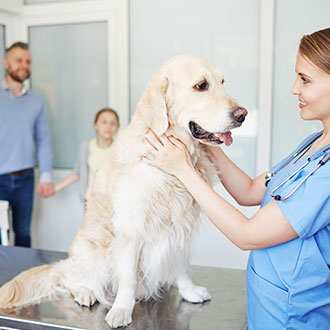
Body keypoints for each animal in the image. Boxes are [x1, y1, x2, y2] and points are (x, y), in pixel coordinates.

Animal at [0, 54, 246, 328]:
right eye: (201, 86)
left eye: (222, 82)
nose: (243, 114)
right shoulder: (131, 228)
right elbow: (127, 278)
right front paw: (121, 310)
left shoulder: (179, 226)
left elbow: (180, 265)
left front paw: (189, 291)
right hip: (93, 253)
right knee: (71, 279)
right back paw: (84, 292)